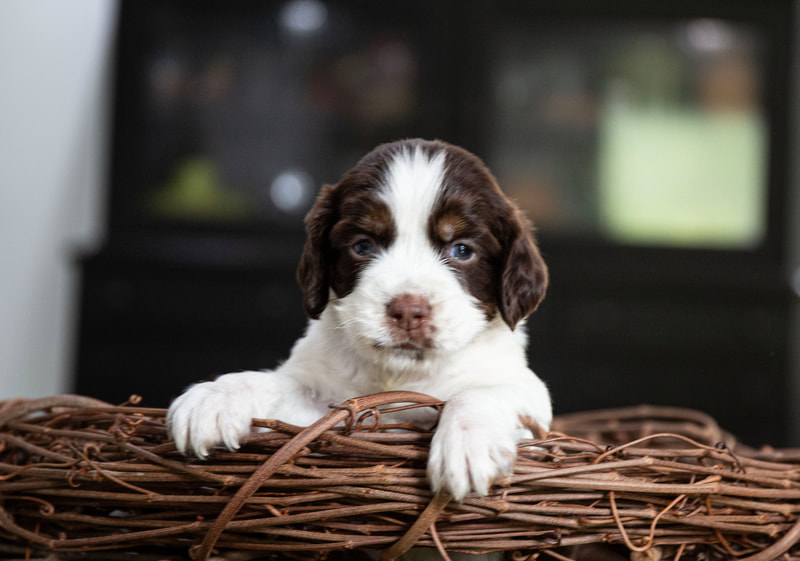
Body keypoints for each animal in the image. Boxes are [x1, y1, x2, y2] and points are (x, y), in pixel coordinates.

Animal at [166, 139, 552, 498]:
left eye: (462, 250)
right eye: (363, 246)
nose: (408, 310)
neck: (400, 372)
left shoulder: (530, 397)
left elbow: (478, 392)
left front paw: (467, 447)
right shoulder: (324, 404)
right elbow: (275, 382)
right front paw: (213, 398)